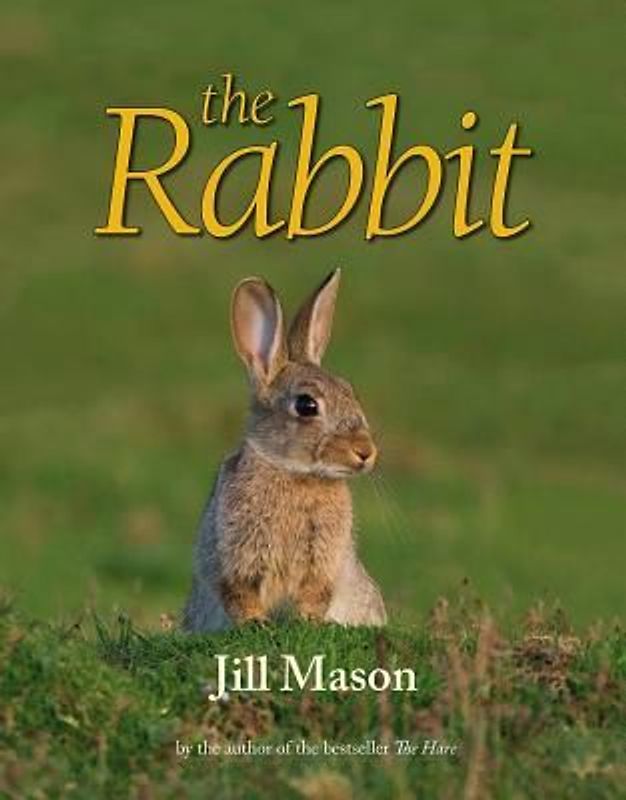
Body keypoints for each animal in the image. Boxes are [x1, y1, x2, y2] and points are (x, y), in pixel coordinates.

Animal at [182, 269, 387, 632]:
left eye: (350, 391)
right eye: (307, 405)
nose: (366, 452)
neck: (294, 472)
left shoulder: (323, 561)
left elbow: (314, 594)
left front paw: (308, 623)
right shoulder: (233, 556)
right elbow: (240, 594)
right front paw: (255, 624)